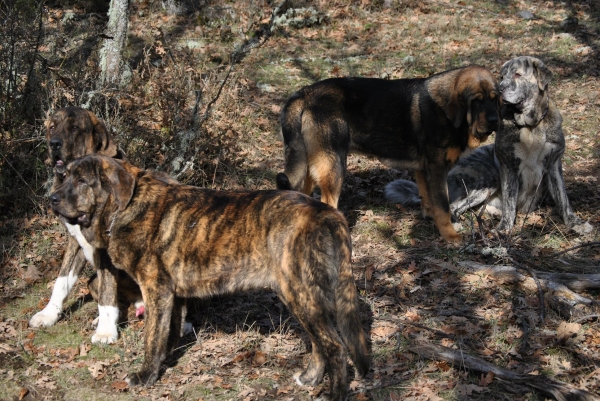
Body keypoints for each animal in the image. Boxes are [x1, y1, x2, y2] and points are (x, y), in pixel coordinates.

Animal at [29, 105, 141, 340]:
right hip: (93, 281)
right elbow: (61, 281)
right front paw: (48, 314)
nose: (54, 144)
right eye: (52, 127)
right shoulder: (74, 241)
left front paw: (106, 331)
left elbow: (107, 291)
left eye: (74, 128)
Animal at [50, 154, 370, 400]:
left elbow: (152, 337)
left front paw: (145, 375)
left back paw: (335, 393)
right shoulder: (172, 295)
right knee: (320, 343)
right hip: (302, 297)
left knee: (335, 347)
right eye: (64, 176)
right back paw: (310, 378)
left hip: (300, 294)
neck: (127, 205)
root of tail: (326, 213)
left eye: (82, 181)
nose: (50, 198)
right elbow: (169, 332)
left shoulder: (156, 289)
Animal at [274, 66, 500, 241]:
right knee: (328, 204)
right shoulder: (437, 169)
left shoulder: (423, 170)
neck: (446, 110)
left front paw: (429, 218)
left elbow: (428, 199)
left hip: (309, 168)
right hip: (334, 167)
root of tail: (305, 93)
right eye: (476, 101)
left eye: (494, 99)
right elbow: (443, 206)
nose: (494, 120)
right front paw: (450, 236)